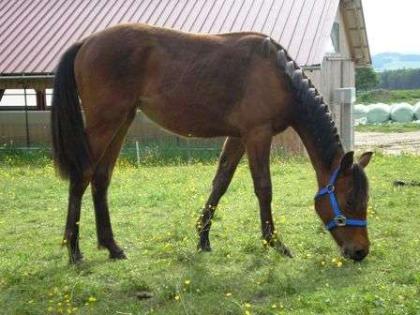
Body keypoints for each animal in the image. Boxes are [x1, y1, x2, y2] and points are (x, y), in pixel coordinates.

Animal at [50, 24, 374, 264]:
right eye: (349, 201)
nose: (360, 251)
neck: (280, 76)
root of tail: (87, 42)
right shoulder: (258, 134)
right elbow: (264, 188)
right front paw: (274, 242)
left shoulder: (239, 136)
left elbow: (220, 182)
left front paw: (202, 239)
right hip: (106, 122)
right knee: (82, 175)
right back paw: (74, 250)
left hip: (122, 121)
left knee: (101, 178)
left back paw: (112, 246)